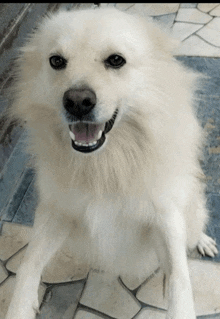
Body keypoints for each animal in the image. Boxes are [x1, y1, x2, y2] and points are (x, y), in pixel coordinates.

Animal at [6, 7, 217, 319]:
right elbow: (28, 264)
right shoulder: (57, 211)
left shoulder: (165, 218)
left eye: (116, 60)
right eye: (56, 61)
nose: (77, 102)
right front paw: (19, 307)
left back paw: (202, 240)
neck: (106, 165)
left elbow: (180, 280)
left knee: (194, 226)